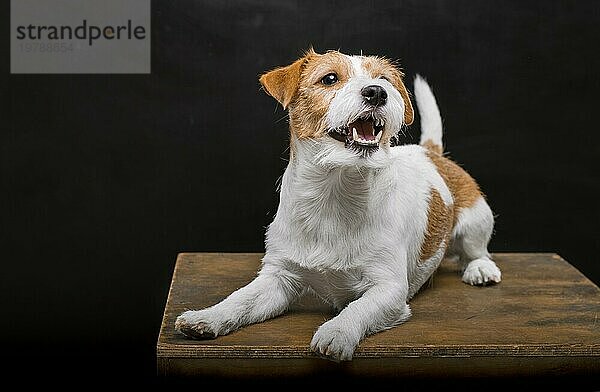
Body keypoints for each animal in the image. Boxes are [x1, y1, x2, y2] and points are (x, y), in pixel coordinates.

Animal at [175, 49, 502, 362]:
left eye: (383, 79)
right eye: (330, 78)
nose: (377, 92)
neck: (335, 192)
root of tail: (431, 152)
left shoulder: (388, 289)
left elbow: (357, 309)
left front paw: (337, 332)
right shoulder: (277, 278)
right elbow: (240, 299)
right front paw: (207, 316)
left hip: (476, 220)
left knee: (476, 251)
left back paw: (480, 269)